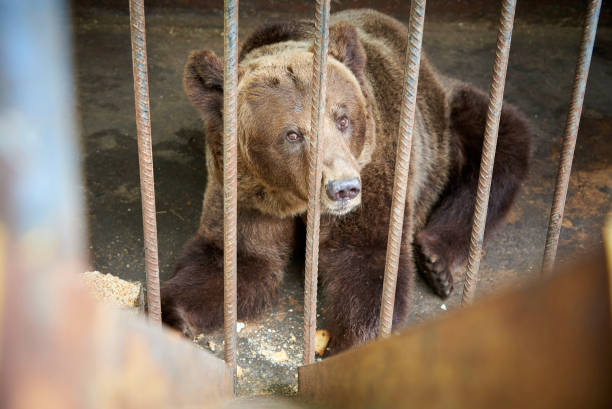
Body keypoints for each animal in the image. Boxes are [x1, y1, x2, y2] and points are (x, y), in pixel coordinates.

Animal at [163, 8, 532, 354]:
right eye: (292, 134)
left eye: (342, 119)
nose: (342, 188)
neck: (295, 197)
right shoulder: (246, 190)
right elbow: (237, 261)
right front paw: (171, 316)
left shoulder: (377, 168)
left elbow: (366, 259)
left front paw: (347, 344)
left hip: (444, 119)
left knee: (502, 141)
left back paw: (435, 259)